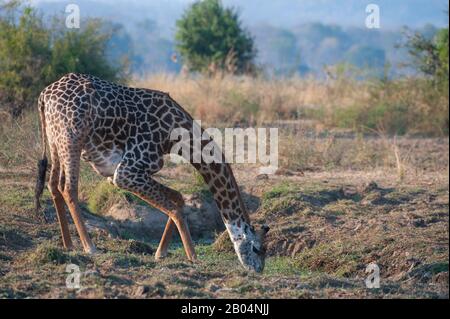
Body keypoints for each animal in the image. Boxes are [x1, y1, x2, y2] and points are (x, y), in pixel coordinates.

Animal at [34, 73, 270, 272]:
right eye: (257, 248)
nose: (257, 270)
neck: (177, 136)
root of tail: (44, 96)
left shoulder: (130, 172)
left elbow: (178, 199)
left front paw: (161, 253)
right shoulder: (126, 172)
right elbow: (175, 209)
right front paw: (193, 257)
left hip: (55, 140)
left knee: (54, 185)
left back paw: (68, 244)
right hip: (72, 137)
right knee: (68, 189)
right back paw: (89, 247)